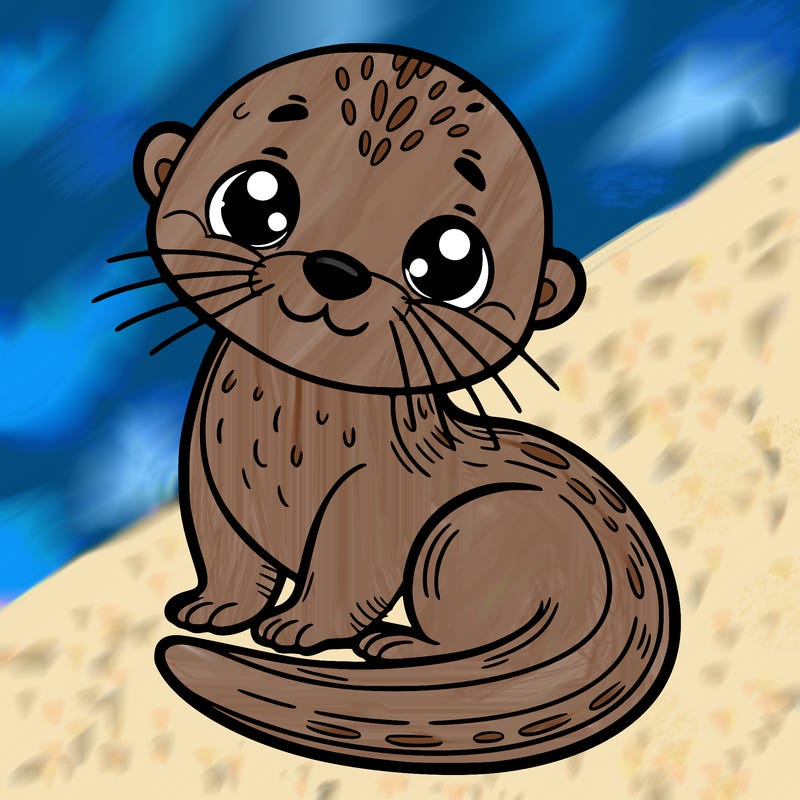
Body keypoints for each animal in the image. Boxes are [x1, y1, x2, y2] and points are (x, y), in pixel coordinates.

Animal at [118, 45, 679, 773]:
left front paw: (298, 627)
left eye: (449, 262)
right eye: (253, 200)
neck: (284, 433)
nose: (336, 268)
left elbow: (350, 570)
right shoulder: (206, 475)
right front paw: (212, 609)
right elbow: (225, 554)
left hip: (470, 531)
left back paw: (401, 646)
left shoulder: (374, 494)